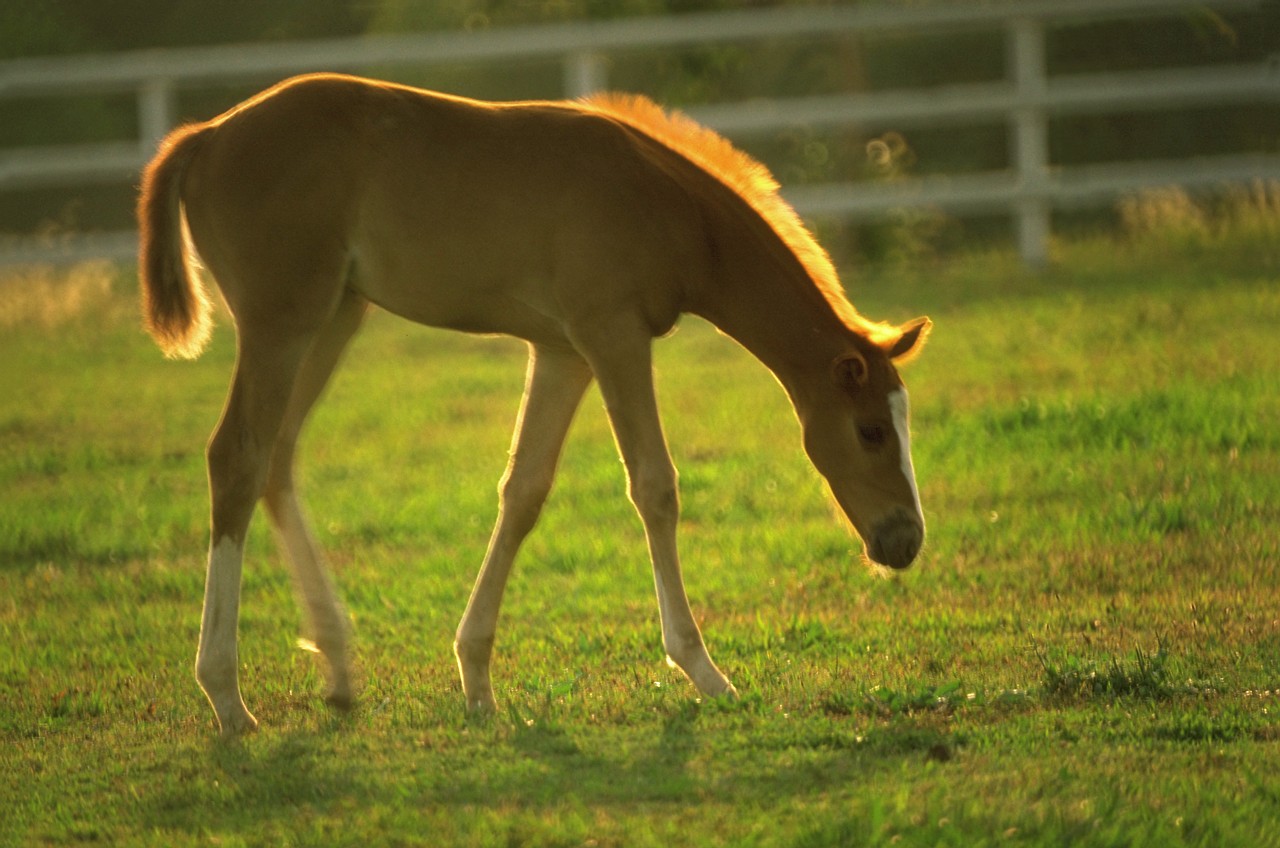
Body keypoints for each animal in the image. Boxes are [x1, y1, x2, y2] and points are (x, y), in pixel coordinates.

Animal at [137, 73, 931, 737]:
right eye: (869, 431)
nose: (905, 541)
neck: (665, 203)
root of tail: (206, 136)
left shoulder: (561, 352)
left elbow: (523, 492)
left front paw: (476, 679)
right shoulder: (612, 335)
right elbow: (655, 487)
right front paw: (703, 670)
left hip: (334, 315)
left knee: (277, 458)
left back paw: (335, 668)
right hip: (282, 321)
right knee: (237, 455)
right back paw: (226, 696)